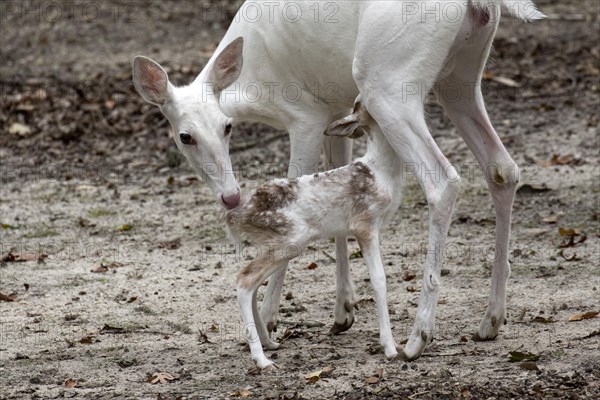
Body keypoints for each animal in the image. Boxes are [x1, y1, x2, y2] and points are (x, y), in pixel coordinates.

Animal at [131, 0, 544, 364]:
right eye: (185, 136)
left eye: (227, 127)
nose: (231, 197)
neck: (251, 81)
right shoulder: (338, 109)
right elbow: (337, 182)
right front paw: (343, 310)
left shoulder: (306, 117)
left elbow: (297, 184)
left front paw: (269, 323)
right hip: (460, 76)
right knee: (503, 169)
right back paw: (491, 320)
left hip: (387, 79)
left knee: (442, 180)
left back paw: (417, 338)